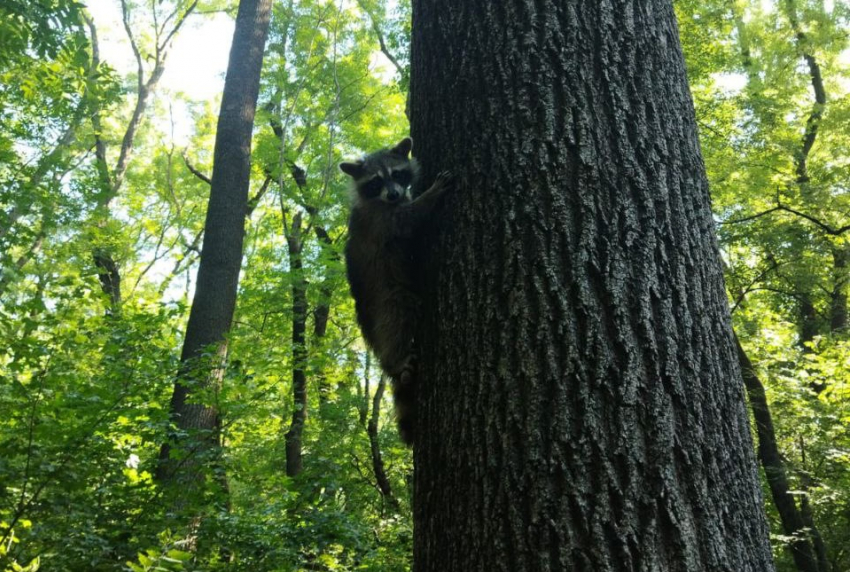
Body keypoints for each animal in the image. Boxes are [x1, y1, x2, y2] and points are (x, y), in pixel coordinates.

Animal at [342, 136, 454, 444]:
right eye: (375, 182)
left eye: (396, 174)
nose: (393, 194)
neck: (380, 200)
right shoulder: (378, 220)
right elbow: (407, 220)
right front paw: (429, 196)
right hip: (385, 297)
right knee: (398, 316)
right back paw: (397, 358)